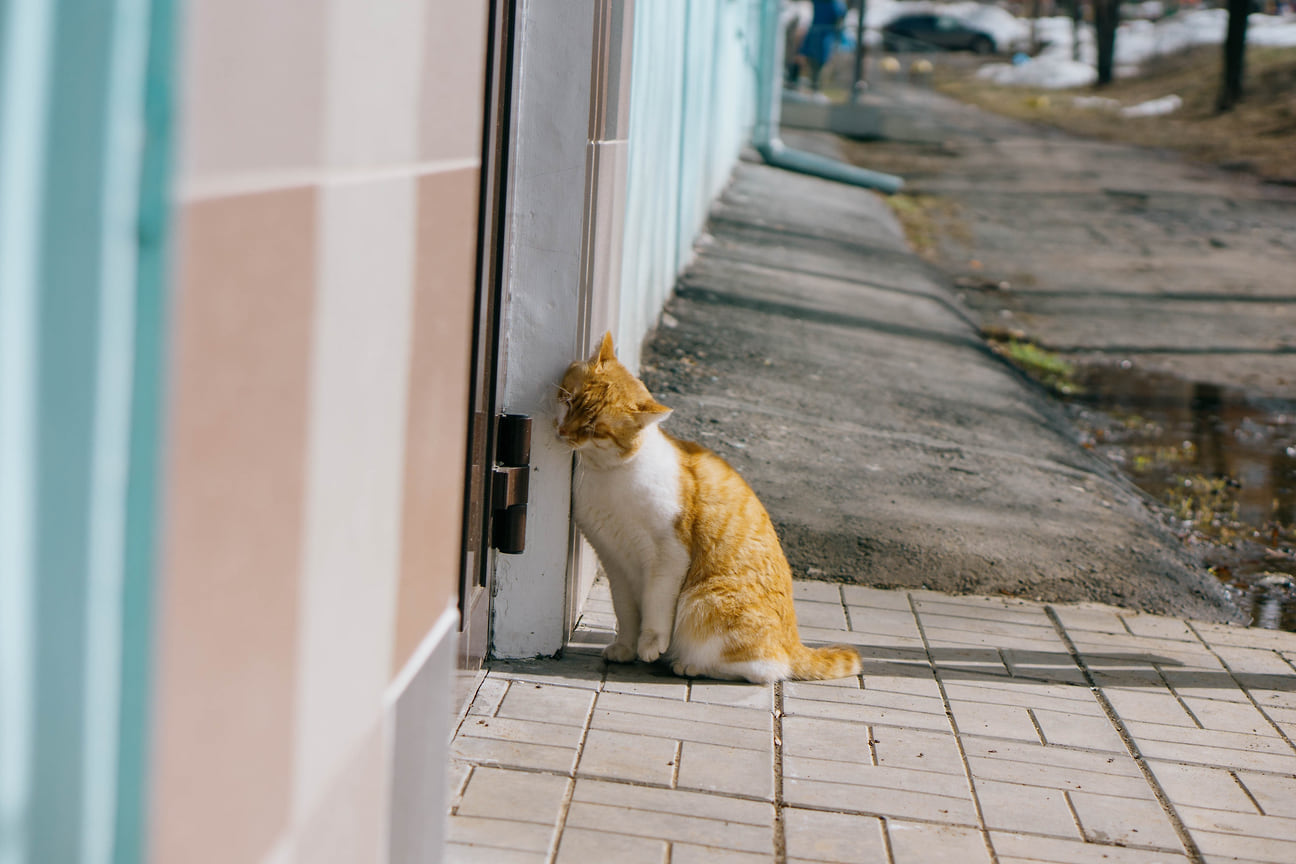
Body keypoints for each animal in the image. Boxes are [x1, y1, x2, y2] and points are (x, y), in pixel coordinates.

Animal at [557, 331, 860, 683]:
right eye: (568, 402)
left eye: (593, 428)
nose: (562, 433)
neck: (611, 474)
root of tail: (793, 642)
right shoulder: (614, 559)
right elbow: (626, 611)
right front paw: (625, 648)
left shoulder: (668, 554)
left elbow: (656, 603)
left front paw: (650, 645)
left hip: (704, 600)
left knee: (766, 668)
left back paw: (689, 665)